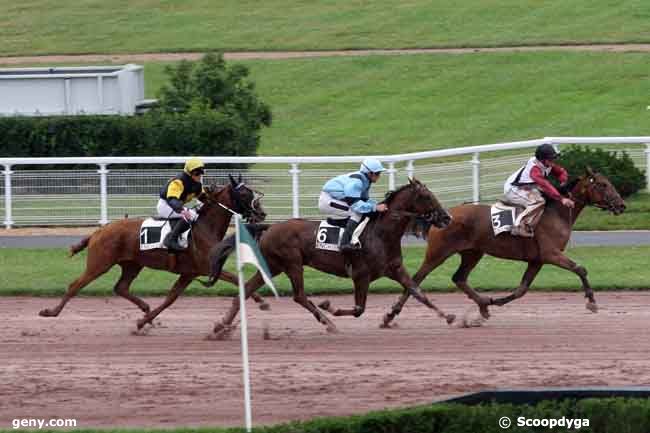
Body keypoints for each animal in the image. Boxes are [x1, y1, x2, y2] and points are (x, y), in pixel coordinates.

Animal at [38, 174, 266, 330]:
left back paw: (145, 307)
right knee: (75, 285)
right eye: (244, 193)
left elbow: (170, 298)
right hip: (100, 263)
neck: (205, 227)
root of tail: (100, 230)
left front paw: (144, 321)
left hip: (132, 264)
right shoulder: (206, 267)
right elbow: (237, 280)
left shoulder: (189, 273)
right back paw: (51, 311)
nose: (262, 213)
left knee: (121, 287)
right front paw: (262, 301)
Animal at [205, 177, 454, 336]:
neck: (381, 233)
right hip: (293, 264)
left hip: (274, 265)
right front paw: (330, 306)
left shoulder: (394, 269)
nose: (447, 217)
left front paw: (447, 316)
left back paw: (220, 327)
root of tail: (269, 227)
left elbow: (417, 292)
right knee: (299, 296)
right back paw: (328, 322)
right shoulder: (361, 275)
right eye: (427, 197)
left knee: (246, 290)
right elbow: (359, 309)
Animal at [380, 167, 624, 326]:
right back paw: (390, 315)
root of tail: (443, 215)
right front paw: (591, 302)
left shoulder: (537, 259)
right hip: (438, 253)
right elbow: (580, 269)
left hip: (472, 252)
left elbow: (521, 289)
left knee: (459, 278)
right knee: (416, 278)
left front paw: (496, 300)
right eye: (603, 184)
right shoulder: (550, 253)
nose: (621, 205)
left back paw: (483, 306)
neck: (557, 213)